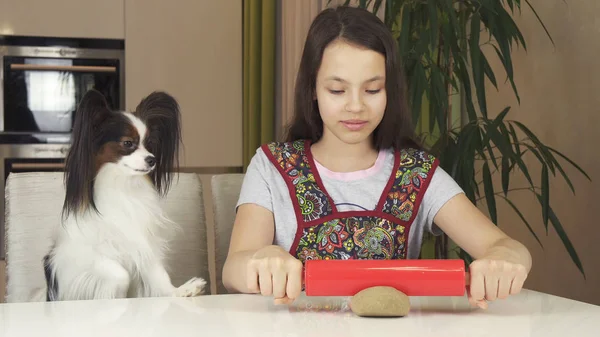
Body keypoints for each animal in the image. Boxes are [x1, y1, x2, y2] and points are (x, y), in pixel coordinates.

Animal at [40, 88, 206, 300]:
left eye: (149, 144)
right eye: (128, 143)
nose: (152, 159)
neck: (123, 185)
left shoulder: (142, 243)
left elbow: (157, 273)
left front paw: (178, 292)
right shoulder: (75, 258)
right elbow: (120, 273)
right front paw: (112, 297)